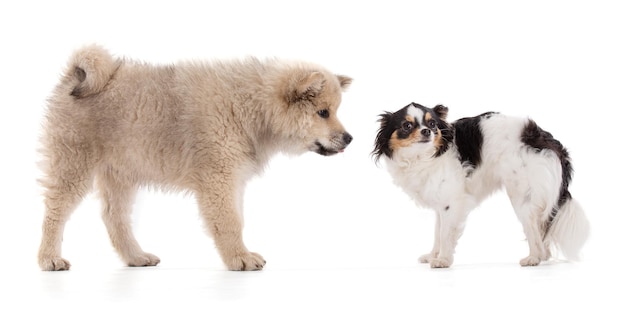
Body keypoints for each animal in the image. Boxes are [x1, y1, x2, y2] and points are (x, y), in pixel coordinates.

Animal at [37, 43, 352, 270]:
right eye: (323, 112)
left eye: (334, 111)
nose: (349, 138)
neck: (250, 107)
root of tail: (74, 75)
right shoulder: (218, 179)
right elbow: (229, 222)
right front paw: (239, 258)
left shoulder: (233, 180)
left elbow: (236, 218)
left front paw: (240, 253)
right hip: (73, 165)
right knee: (55, 213)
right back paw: (49, 258)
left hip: (121, 173)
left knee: (114, 217)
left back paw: (136, 257)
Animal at [372, 102, 588, 268]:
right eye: (406, 126)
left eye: (432, 124)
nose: (427, 131)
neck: (423, 157)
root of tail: (544, 137)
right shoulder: (441, 204)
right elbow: (437, 232)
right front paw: (433, 255)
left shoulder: (452, 203)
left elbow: (445, 233)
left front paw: (443, 260)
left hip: (521, 196)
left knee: (534, 230)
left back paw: (534, 258)